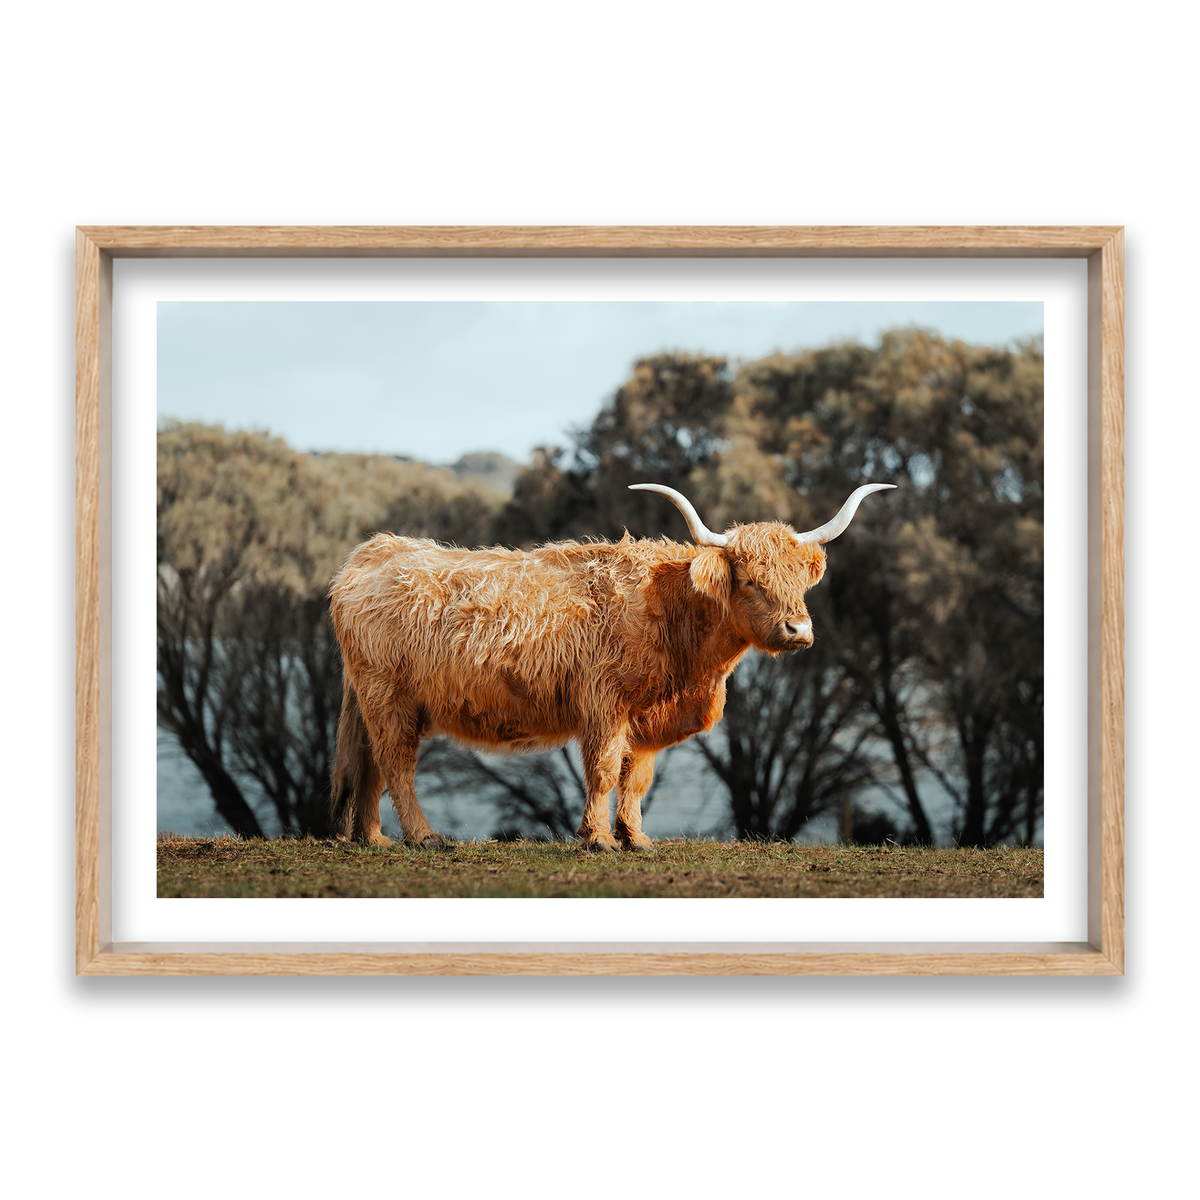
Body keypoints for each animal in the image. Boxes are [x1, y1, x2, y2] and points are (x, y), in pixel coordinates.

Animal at [329, 482, 894, 851]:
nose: (798, 630)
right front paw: (598, 839)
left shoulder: (646, 717)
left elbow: (636, 777)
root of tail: (373, 551)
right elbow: (602, 771)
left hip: (377, 701)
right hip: (389, 697)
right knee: (396, 764)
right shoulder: (604, 703)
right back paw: (424, 837)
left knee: (371, 764)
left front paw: (636, 838)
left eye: (799, 580)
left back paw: (374, 839)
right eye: (752, 581)